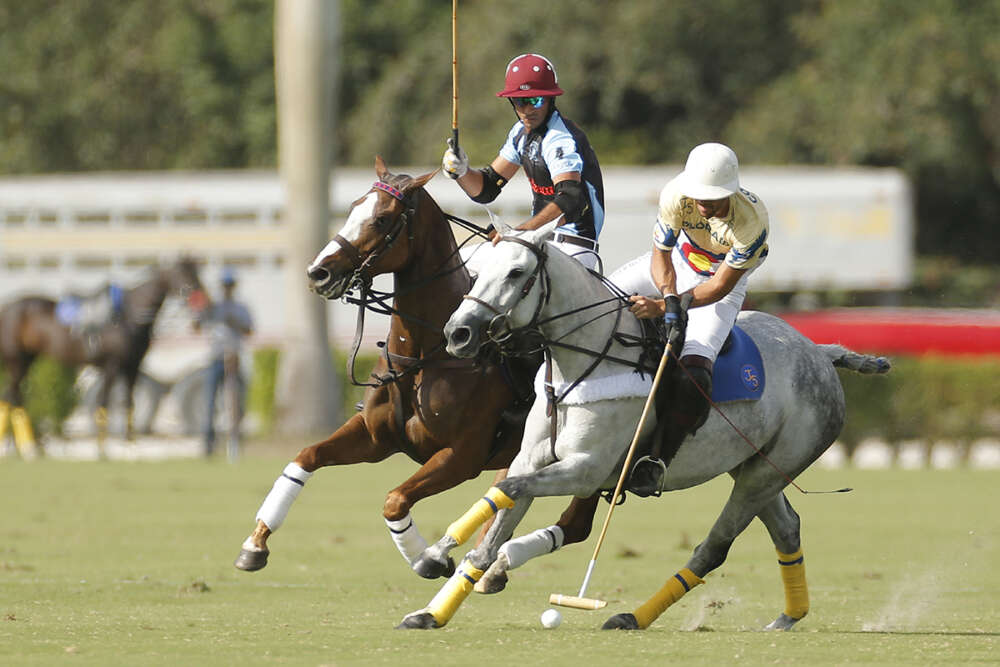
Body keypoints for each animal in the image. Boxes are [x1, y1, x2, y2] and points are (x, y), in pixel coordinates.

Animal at [0, 258, 205, 456]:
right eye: (182, 273)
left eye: (196, 272)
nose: (201, 312)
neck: (127, 316)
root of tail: (8, 308)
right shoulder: (111, 366)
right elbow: (104, 403)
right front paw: (102, 449)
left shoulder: (132, 367)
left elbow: (129, 404)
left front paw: (131, 445)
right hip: (17, 362)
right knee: (10, 397)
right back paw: (23, 448)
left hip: (27, 360)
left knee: (14, 398)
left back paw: (24, 448)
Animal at [235, 158, 532, 580]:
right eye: (353, 207)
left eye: (381, 219)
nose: (317, 273)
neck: (424, 352)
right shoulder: (375, 437)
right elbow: (306, 456)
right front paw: (256, 542)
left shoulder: (463, 455)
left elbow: (394, 501)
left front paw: (428, 557)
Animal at [398, 223, 892, 632]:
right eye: (477, 269)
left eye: (517, 273)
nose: (458, 334)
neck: (584, 359)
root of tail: (819, 351)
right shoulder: (532, 457)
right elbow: (498, 510)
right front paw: (432, 598)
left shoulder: (586, 470)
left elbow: (508, 490)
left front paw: (440, 560)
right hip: (755, 465)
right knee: (787, 528)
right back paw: (788, 617)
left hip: (767, 472)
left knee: (714, 547)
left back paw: (631, 616)